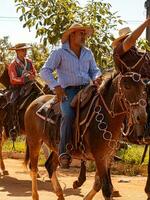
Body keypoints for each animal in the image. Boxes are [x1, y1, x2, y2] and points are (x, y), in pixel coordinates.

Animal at [24, 71, 147, 199]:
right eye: (127, 86)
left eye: (144, 88)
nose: (142, 117)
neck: (106, 117)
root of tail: (34, 103)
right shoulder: (100, 158)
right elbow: (106, 189)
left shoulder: (108, 157)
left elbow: (98, 184)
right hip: (34, 141)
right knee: (34, 169)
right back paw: (35, 195)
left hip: (57, 149)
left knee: (49, 166)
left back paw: (60, 193)